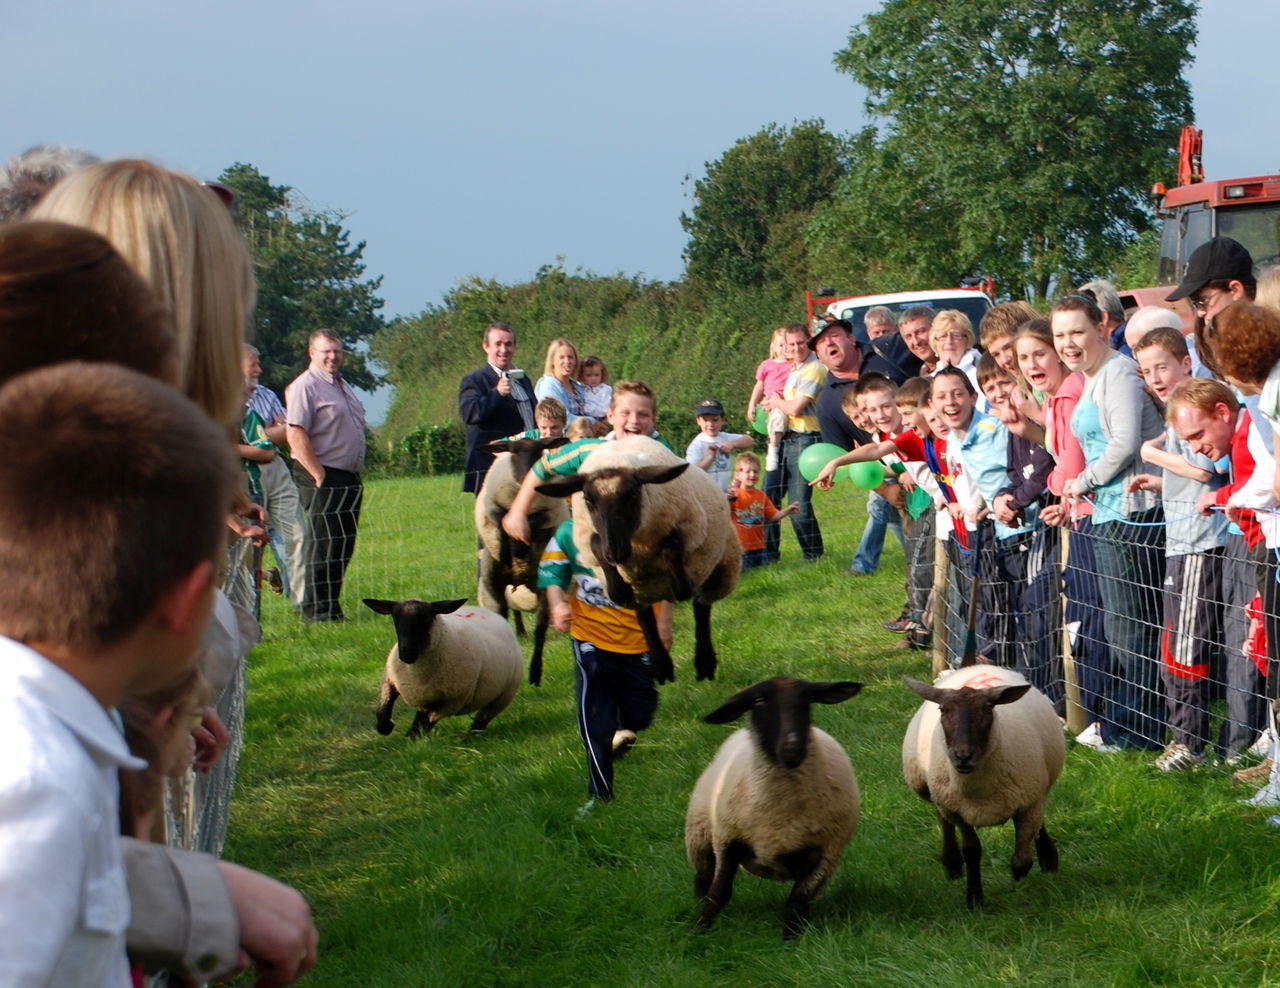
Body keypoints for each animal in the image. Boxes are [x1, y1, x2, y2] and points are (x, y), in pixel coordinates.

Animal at [360, 593, 519, 742]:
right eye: (395, 619)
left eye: (425, 619)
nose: (406, 653)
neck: (417, 673)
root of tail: (493, 614)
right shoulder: (389, 680)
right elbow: (383, 710)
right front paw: (386, 727)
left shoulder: (452, 702)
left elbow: (424, 723)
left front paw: (409, 740)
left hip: (502, 697)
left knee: (482, 719)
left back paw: (469, 736)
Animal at [473, 435, 568, 680]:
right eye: (513, 451)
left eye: (540, 451)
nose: (528, 478)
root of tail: (520, 579)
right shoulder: (493, 507)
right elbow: (501, 522)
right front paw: (509, 551)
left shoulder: (545, 514)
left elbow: (529, 523)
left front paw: (521, 546)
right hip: (493, 584)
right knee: (504, 616)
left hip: (543, 589)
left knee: (540, 629)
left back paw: (535, 671)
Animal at [535, 435, 747, 680]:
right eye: (588, 500)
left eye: (633, 495)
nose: (615, 552)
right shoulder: (601, 553)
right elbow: (609, 573)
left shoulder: (688, 545)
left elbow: (680, 580)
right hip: (643, 589)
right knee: (644, 613)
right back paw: (661, 665)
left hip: (723, 567)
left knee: (702, 604)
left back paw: (704, 661)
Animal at [680, 675, 860, 936]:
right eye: (759, 700)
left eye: (808, 698)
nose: (793, 748)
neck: (780, 817)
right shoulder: (727, 842)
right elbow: (719, 894)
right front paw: (699, 930)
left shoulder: (826, 853)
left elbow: (797, 902)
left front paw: (791, 939)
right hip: (700, 834)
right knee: (702, 879)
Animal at [901, 665, 1070, 911]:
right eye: (943, 709)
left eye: (988, 709)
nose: (962, 756)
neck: (977, 790)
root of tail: (977, 666)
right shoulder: (959, 811)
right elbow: (972, 851)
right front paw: (974, 898)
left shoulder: (1029, 800)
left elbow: (1023, 856)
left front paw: (1021, 872)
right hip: (931, 789)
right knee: (942, 819)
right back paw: (952, 864)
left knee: (1038, 824)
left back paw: (1048, 858)